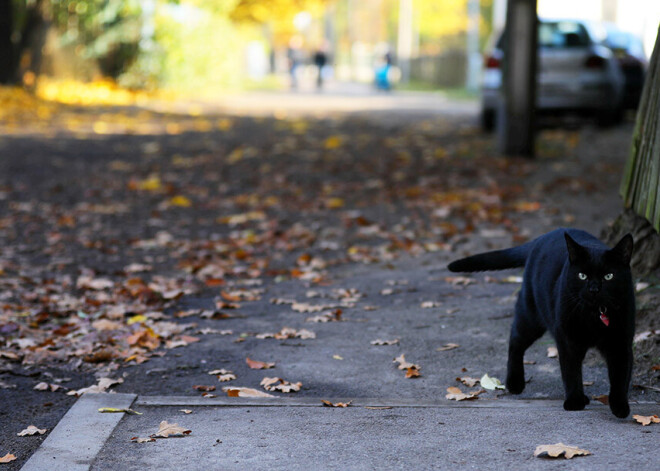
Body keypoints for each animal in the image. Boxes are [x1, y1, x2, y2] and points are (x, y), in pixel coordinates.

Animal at [448, 230, 636, 418]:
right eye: (582, 276)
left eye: (609, 276)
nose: (594, 289)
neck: (594, 315)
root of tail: (541, 238)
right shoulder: (567, 341)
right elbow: (571, 372)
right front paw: (574, 401)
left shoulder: (620, 343)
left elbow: (620, 377)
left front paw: (620, 407)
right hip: (531, 318)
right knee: (515, 340)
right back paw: (515, 382)